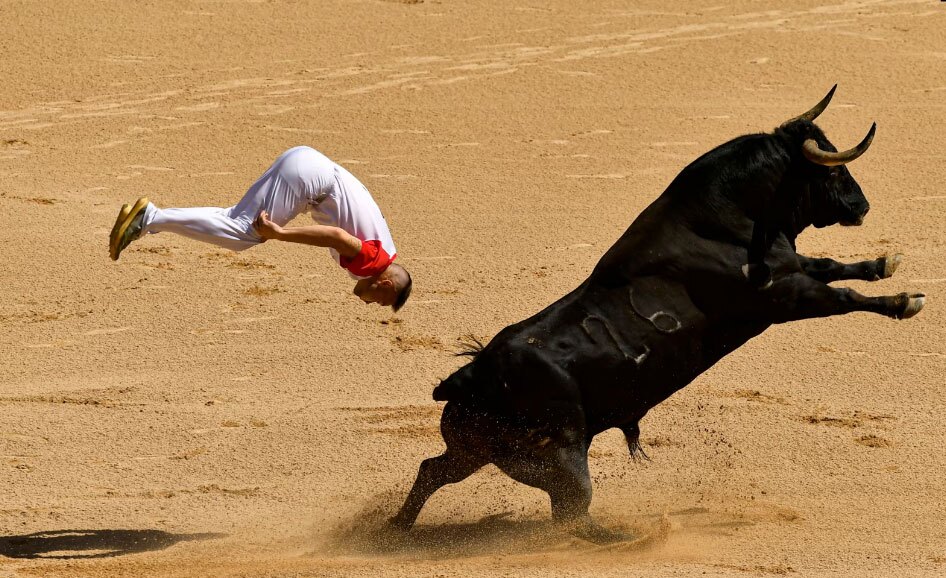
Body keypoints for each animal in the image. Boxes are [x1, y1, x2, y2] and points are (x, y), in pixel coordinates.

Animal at [389, 86, 926, 544]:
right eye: (831, 172)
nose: (862, 206)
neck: (722, 216)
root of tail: (473, 374)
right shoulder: (785, 297)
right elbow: (842, 296)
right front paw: (904, 301)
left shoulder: (794, 269)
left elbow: (832, 265)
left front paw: (883, 263)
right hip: (562, 456)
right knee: (570, 514)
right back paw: (628, 539)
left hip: (475, 449)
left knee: (434, 469)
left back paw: (397, 528)